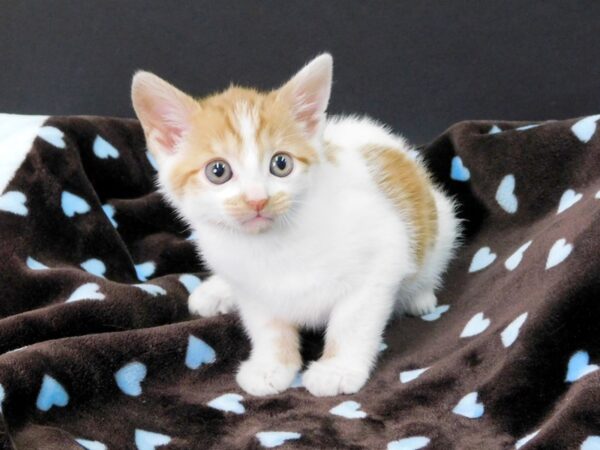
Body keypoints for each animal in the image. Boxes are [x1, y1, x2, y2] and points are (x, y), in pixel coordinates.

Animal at [131, 53, 460, 398]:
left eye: (281, 164)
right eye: (218, 171)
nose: (257, 200)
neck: (273, 245)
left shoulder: (382, 254)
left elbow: (352, 321)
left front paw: (336, 370)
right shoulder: (252, 288)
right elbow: (267, 327)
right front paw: (271, 365)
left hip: (443, 220)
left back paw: (419, 296)